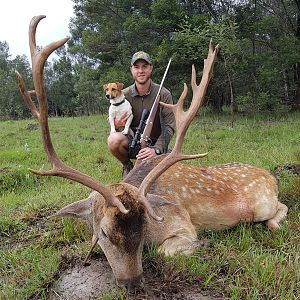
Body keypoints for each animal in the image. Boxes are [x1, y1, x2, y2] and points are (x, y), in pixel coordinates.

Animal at [16, 15, 288, 290]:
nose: (132, 282)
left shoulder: (182, 224)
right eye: (102, 233)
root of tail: (271, 175)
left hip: (263, 203)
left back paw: (271, 224)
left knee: (281, 208)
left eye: (144, 226)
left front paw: (204, 242)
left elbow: (164, 250)